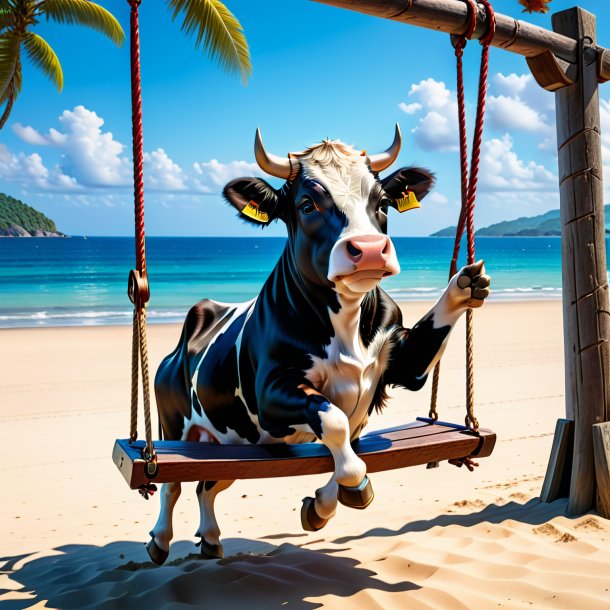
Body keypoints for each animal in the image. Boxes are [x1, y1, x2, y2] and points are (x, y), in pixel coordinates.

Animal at [146, 126, 490, 564]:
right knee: (171, 486)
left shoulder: (399, 367)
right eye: (308, 205)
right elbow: (334, 421)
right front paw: (351, 487)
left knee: (209, 484)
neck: (346, 324)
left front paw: (466, 283)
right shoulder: (271, 391)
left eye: (382, 203)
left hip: (228, 440)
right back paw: (159, 540)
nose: (370, 250)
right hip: (173, 423)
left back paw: (210, 539)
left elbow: (351, 446)